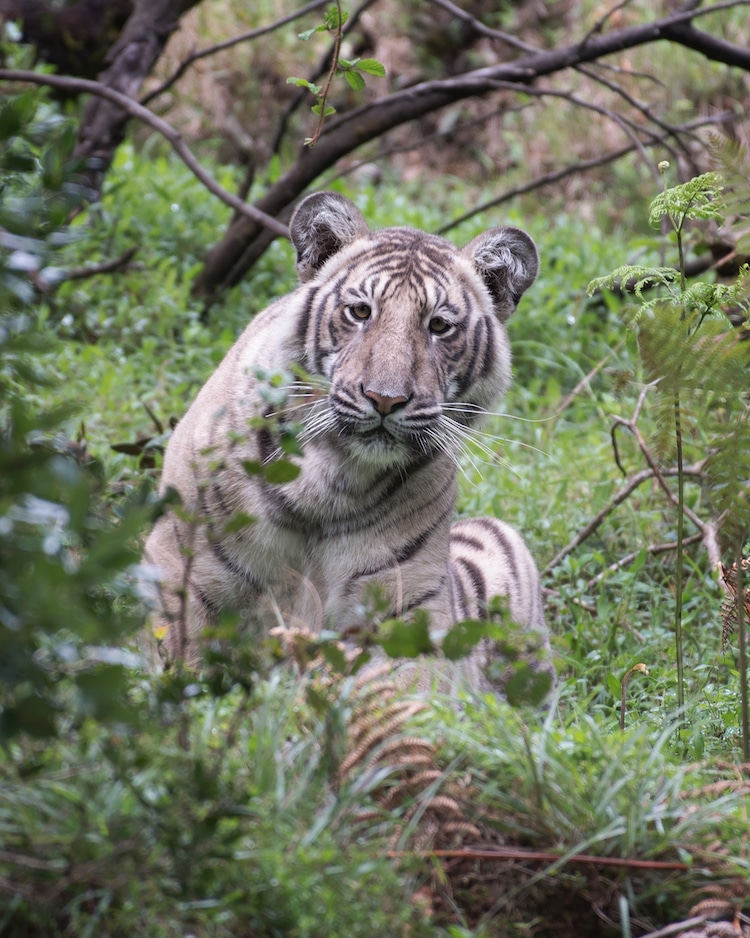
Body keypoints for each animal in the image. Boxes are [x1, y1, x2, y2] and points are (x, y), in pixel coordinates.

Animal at [142, 188, 552, 688]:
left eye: (439, 326)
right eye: (360, 312)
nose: (385, 399)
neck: (330, 478)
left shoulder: (406, 606)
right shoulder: (183, 562)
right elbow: (176, 662)